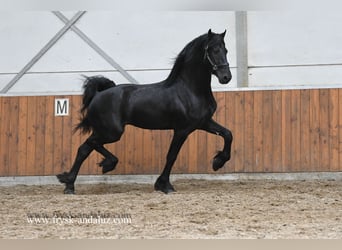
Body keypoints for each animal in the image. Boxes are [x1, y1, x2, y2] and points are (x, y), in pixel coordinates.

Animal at [57, 29, 234, 193]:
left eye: (225, 50)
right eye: (214, 50)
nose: (226, 77)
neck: (189, 90)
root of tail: (98, 94)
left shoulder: (203, 123)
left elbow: (228, 134)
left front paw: (217, 162)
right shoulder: (182, 129)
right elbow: (172, 156)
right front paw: (164, 185)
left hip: (105, 131)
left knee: (85, 148)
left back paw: (72, 183)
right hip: (112, 132)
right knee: (88, 145)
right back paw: (90, 172)